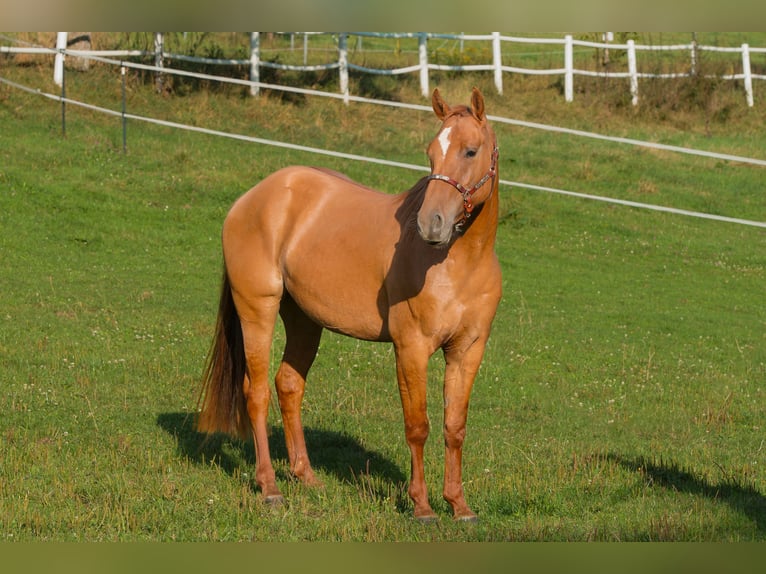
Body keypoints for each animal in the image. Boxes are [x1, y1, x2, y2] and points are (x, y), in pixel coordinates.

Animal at [198, 89, 504, 520]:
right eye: (431, 152)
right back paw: (270, 487)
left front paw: (459, 506)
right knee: (255, 392)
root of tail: (252, 198)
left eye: (470, 151)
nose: (431, 224)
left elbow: (454, 427)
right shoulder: (411, 349)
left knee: (288, 385)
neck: (459, 263)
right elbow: (418, 426)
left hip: (304, 320)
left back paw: (307, 476)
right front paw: (422, 506)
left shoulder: (467, 351)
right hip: (257, 310)